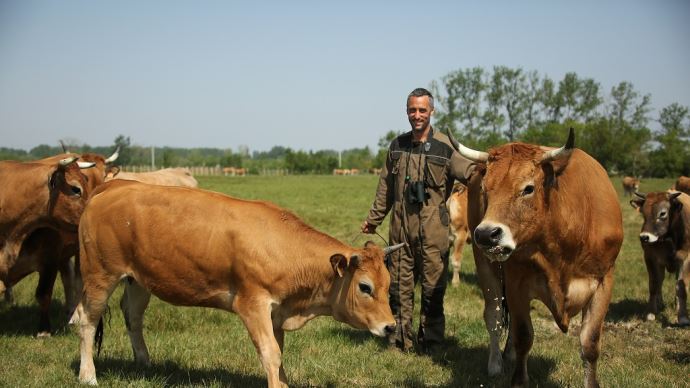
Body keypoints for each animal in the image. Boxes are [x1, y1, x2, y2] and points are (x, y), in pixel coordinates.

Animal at [74, 180, 404, 386]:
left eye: (388, 283)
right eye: (364, 287)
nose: (391, 327)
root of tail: (114, 185)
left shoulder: (276, 312)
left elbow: (279, 355)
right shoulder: (253, 305)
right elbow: (270, 354)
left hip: (138, 280)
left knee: (133, 316)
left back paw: (144, 363)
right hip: (100, 275)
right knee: (86, 321)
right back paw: (88, 375)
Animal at [446, 130, 624, 388]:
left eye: (528, 188)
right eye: (485, 189)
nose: (486, 234)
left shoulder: (604, 281)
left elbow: (590, 343)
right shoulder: (516, 282)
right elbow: (523, 335)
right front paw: (518, 379)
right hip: (486, 266)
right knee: (494, 316)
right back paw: (496, 364)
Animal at [628, 191, 688, 324]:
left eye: (662, 213)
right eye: (643, 213)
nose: (644, 237)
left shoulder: (685, 258)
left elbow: (680, 286)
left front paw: (683, 316)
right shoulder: (651, 258)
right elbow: (654, 284)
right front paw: (651, 313)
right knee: (660, 281)